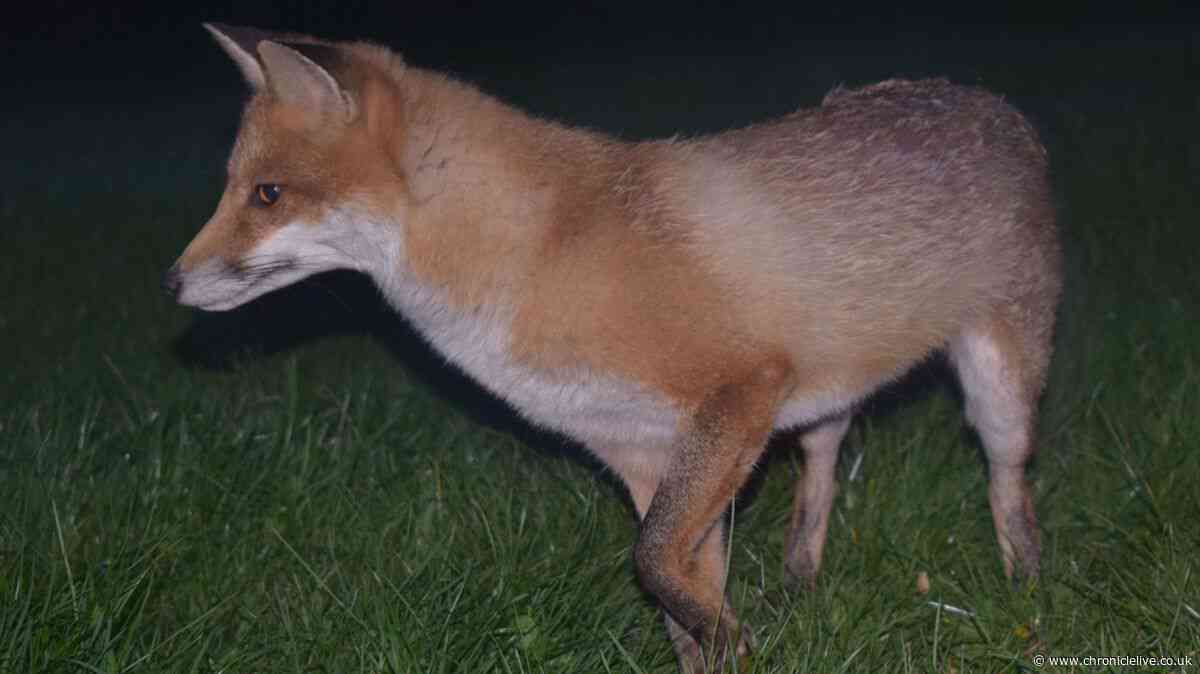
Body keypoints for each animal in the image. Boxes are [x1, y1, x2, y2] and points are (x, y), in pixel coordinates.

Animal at [165, 23, 1061, 672]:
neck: (537, 260)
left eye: (267, 195)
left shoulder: (736, 398)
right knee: (822, 468)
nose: (172, 283)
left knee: (1009, 486)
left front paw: (737, 641)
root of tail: (989, 101)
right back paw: (802, 580)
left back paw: (1028, 593)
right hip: (822, 402)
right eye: (236, 187)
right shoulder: (643, 454)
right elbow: (675, 601)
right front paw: (724, 648)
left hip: (997, 388)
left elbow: (654, 565)